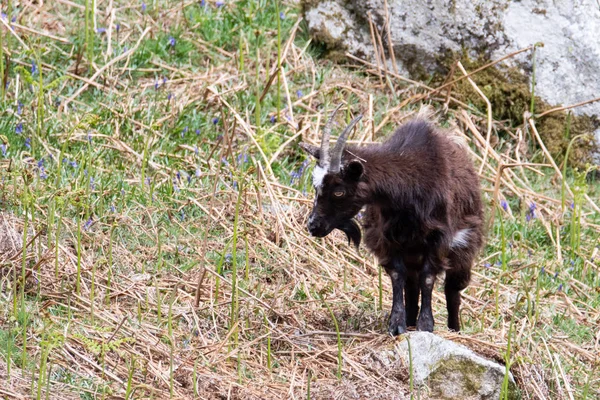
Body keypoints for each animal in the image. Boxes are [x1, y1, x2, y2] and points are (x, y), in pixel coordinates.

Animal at [298, 104, 482, 332]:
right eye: (315, 187)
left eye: (339, 191)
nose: (313, 225)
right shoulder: (387, 236)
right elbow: (397, 276)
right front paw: (396, 324)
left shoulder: (438, 237)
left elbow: (428, 278)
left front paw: (426, 324)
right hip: (412, 252)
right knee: (411, 286)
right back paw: (410, 321)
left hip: (464, 246)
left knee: (452, 288)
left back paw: (453, 328)